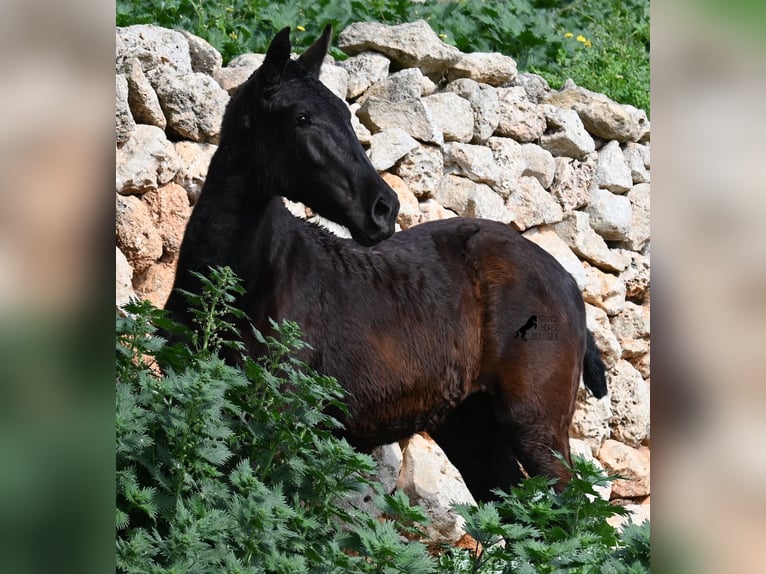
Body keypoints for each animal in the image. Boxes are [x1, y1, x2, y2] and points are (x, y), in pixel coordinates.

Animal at [165, 27, 608, 504]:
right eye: (301, 118)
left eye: (346, 113)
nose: (383, 208)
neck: (242, 279)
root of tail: (570, 285)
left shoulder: (276, 412)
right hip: (470, 429)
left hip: (537, 428)